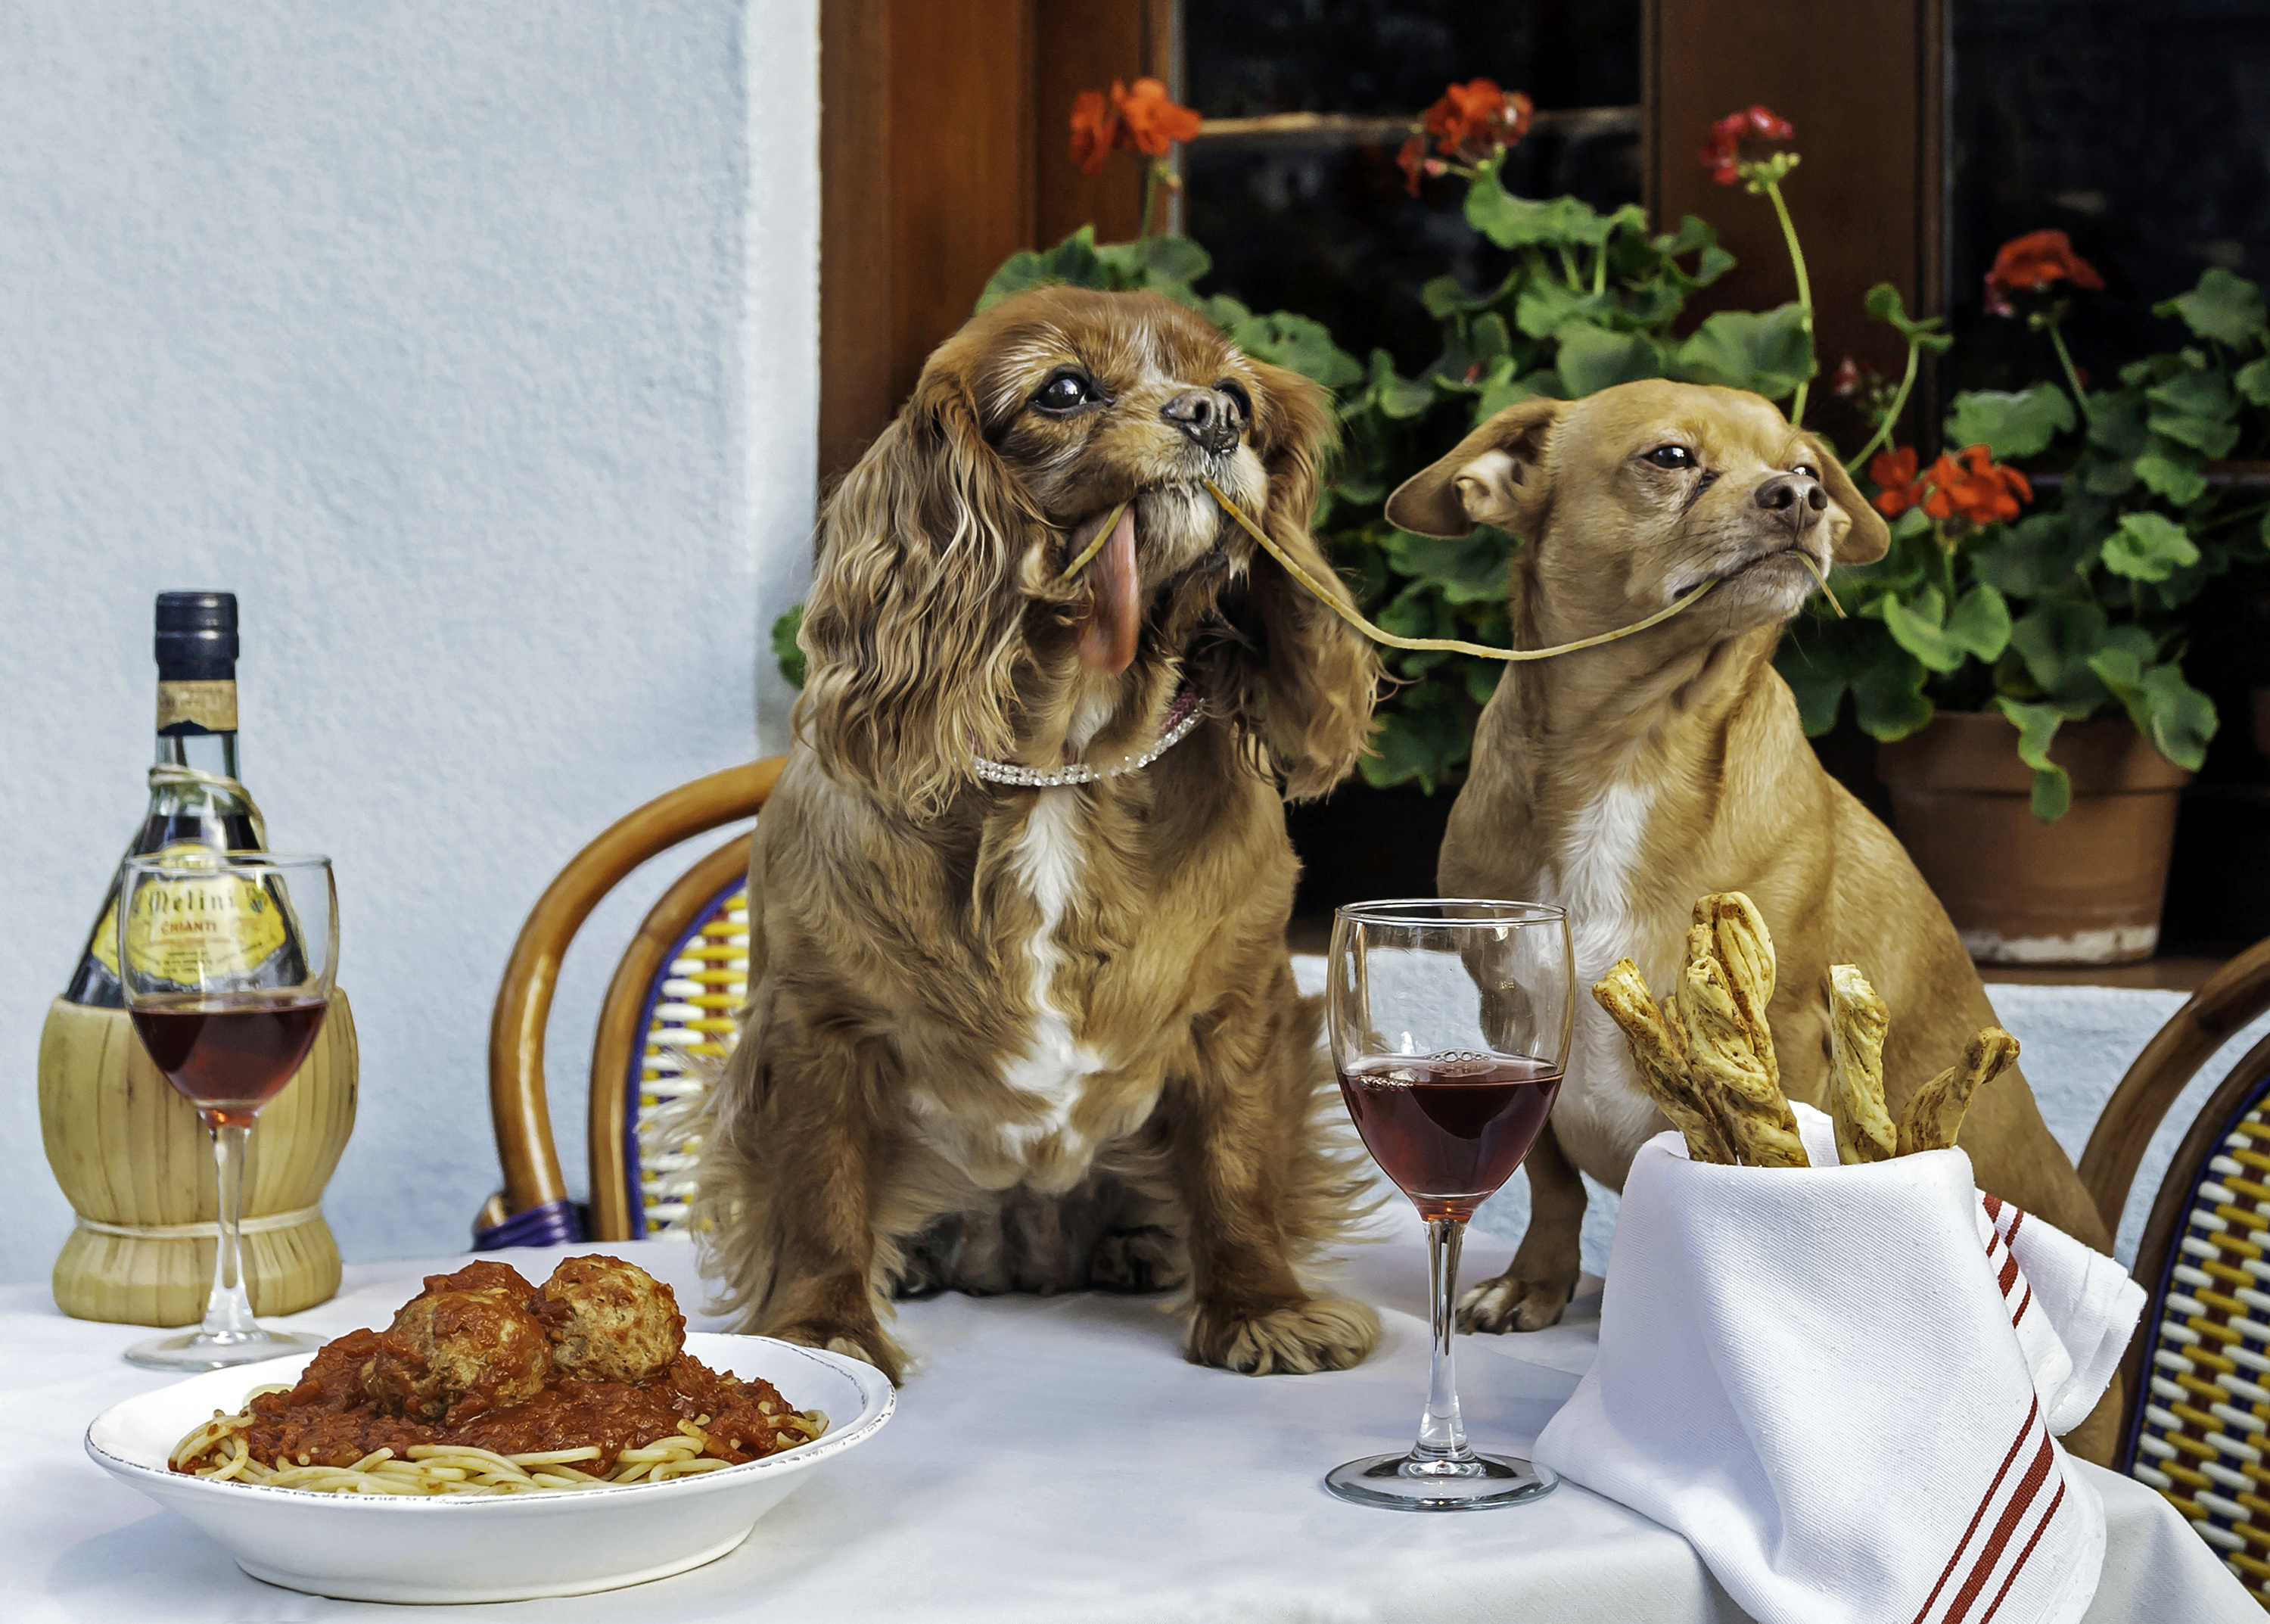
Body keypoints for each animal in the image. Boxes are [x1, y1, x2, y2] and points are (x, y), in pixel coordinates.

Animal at [699, 286, 1380, 1380]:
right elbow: (819, 1189)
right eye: (1063, 391)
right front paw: (823, 1330)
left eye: (1238, 394)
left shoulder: (1239, 1009)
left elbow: (1238, 1168)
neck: (1065, 761)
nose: (1210, 417)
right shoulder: (817, 1024)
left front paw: (1263, 1307)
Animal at [1380, 377, 2125, 1462]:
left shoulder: (1791, 1037)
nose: (1800, 498)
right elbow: (1552, 1178)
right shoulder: (1513, 1011)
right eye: (1670, 457)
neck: (1633, 746)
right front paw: (1537, 1283)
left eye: (1807, 467)